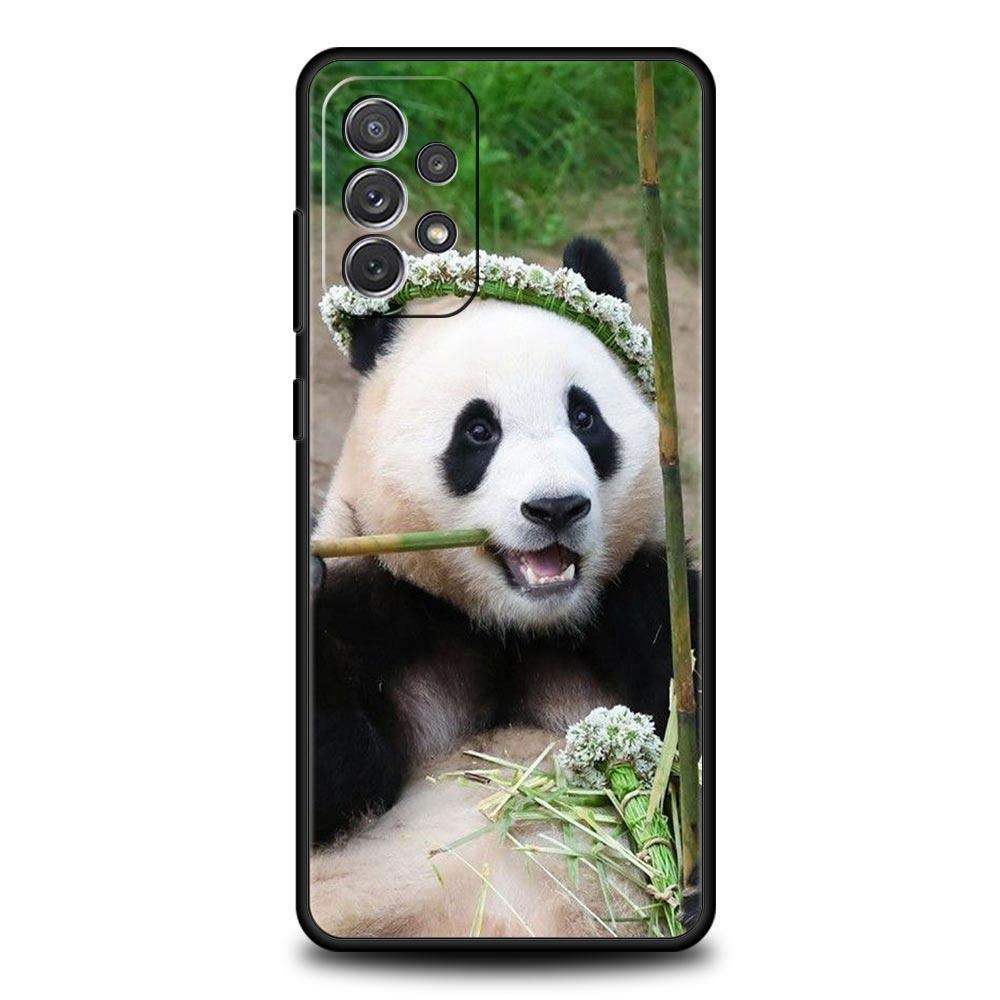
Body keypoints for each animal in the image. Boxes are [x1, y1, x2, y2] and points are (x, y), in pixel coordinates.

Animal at [309, 237, 700, 938]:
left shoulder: (647, 601)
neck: (512, 628)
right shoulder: (378, 601)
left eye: (585, 417)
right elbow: (345, 786)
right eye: (478, 431)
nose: (556, 508)